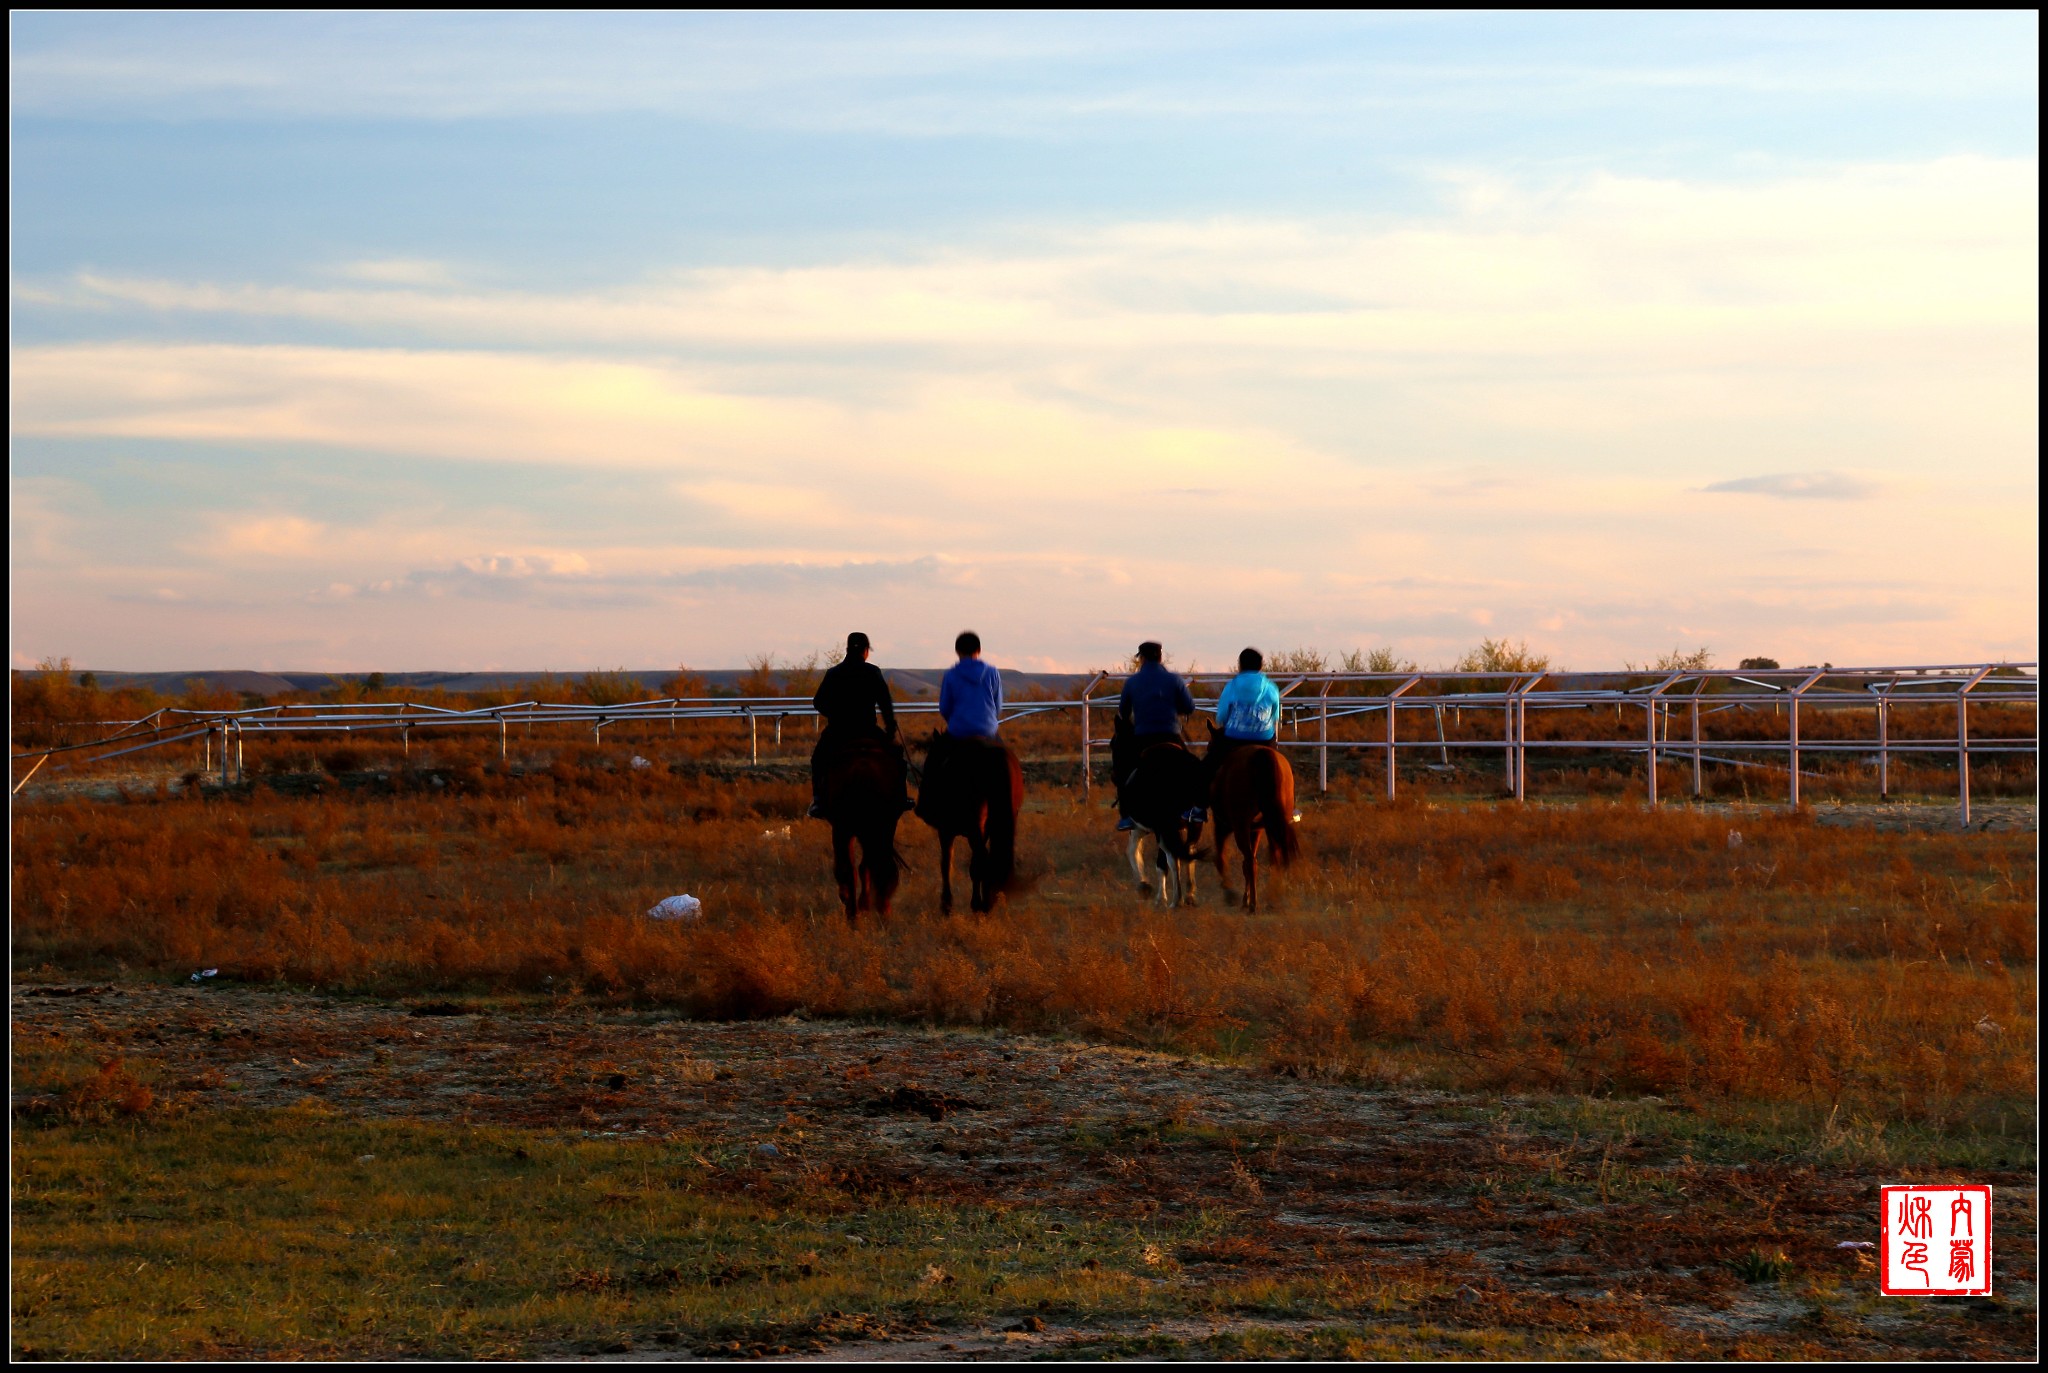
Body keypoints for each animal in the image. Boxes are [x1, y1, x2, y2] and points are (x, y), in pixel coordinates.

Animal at [815, 741, 905, 926]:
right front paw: (865, 903)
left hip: (846, 829)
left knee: (851, 868)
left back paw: (855, 911)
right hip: (878, 828)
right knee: (871, 866)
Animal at [917, 737, 1024, 918]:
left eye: (929, 761)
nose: (920, 809)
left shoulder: (946, 831)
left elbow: (946, 863)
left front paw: (946, 905)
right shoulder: (984, 831)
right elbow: (971, 867)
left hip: (974, 829)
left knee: (983, 859)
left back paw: (982, 904)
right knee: (985, 860)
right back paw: (986, 903)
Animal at [1114, 725, 1204, 909]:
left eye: (1114, 745)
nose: (1113, 776)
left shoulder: (1143, 828)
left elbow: (1133, 851)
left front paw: (1147, 888)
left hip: (1164, 828)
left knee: (1172, 858)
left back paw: (1176, 900)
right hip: (1193, 825)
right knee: (1189, 851)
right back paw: (1189, 895)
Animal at [1204, 729, 1302, 913]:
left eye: (1210, 745)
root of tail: (1263, 755)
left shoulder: (1223, 826)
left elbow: (1221, 858)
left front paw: (1232, 894)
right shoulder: (1256, 829)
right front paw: (1244, 898)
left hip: (1241, 826)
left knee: (1251, 862)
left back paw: (1254, 904)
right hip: (1273, 823)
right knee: (1275, 858)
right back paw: (1273, 896)